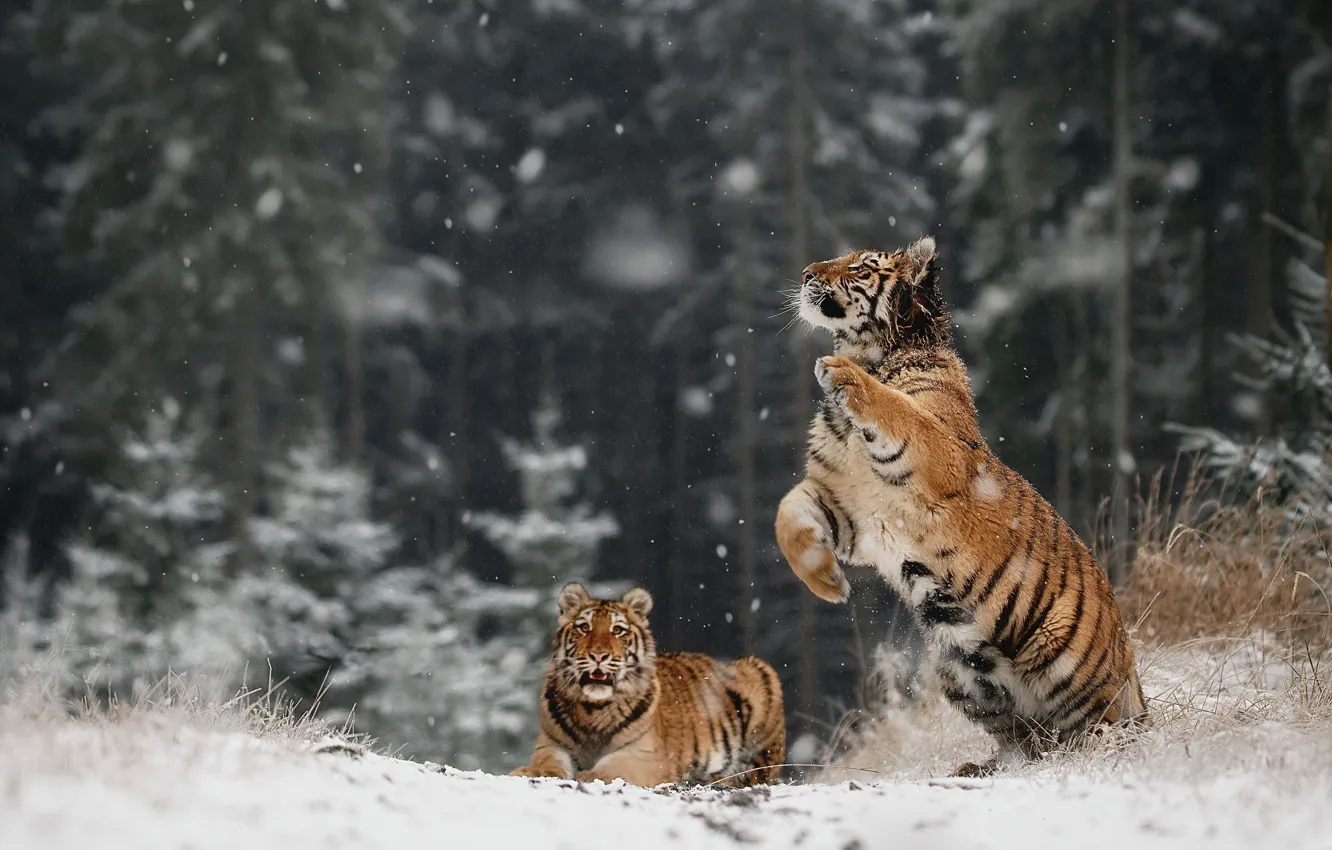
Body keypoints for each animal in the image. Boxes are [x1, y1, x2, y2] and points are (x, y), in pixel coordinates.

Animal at [510, 582, 786, 788]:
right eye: (584, 628)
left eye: (618, 630)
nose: (598, 655)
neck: (593, 709)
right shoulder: (550, 744)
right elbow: (547, 763)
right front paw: (529, 771)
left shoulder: (647, 756)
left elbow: (614, 767)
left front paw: (590, 775)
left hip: (761, 675)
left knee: (754, 773)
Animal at [774, 236, 1148, 777]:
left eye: (861, 267)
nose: (805, 273)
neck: (873, 351)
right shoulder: (847, 510)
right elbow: (788, 511)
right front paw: (826, 583)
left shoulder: (937, 453)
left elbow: (895, 407)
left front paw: (841, 372)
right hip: (957, 666)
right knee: (1025, 738)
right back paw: (985, 766)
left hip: (1059, 654)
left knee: (1100, 732)